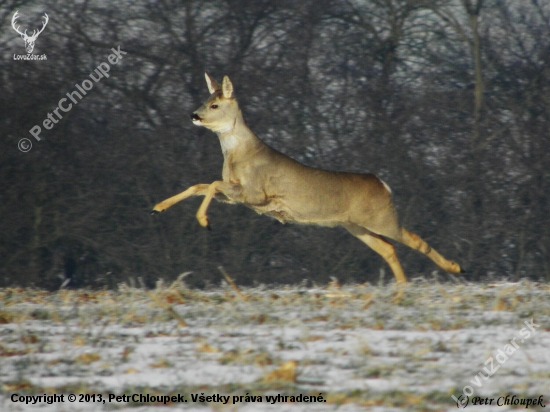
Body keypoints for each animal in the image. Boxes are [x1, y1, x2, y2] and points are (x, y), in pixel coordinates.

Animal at [152, 73, 466, 284]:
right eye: (206, 99)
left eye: (215, 105)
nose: (193, 115)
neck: (239, 154)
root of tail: (383, 185)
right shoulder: (238, 196)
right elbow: (201, 184)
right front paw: (158, 207)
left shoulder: (255, 192)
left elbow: (213, 184)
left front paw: (203, 221)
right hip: (356, 225)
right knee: (388, 248)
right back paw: (402, 285)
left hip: (381, 218)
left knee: (413, 239)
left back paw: (454, 267)